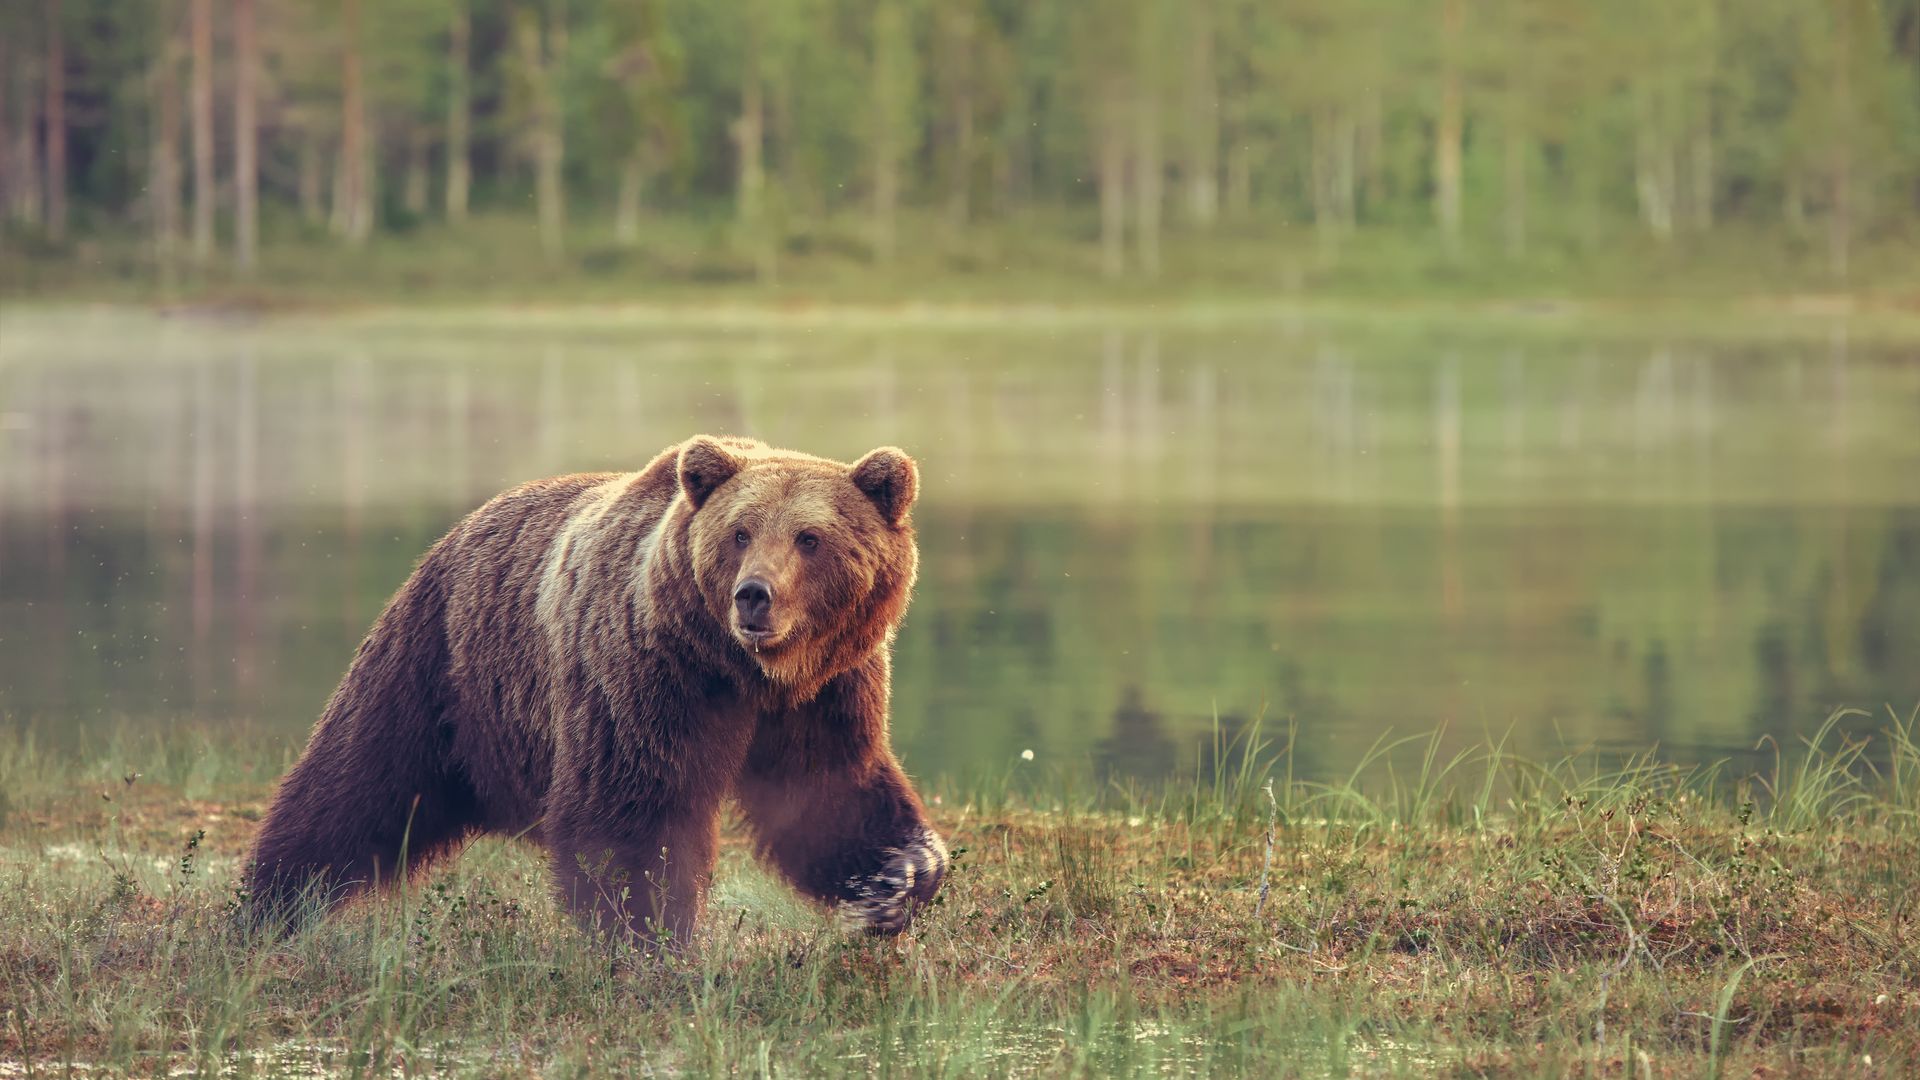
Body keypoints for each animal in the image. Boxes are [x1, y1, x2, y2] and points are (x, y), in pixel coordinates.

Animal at [244, 435, 947, 942]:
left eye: (810, 537)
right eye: (740, 532)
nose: (754, 596)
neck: (743, 670)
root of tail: (461, 528)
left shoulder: (827, 692)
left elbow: (829, 793)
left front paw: (899, 877)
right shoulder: (649, 675)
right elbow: (631, 810)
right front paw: (652, 941)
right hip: (442, 667)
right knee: (353, 787)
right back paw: (267, 910)